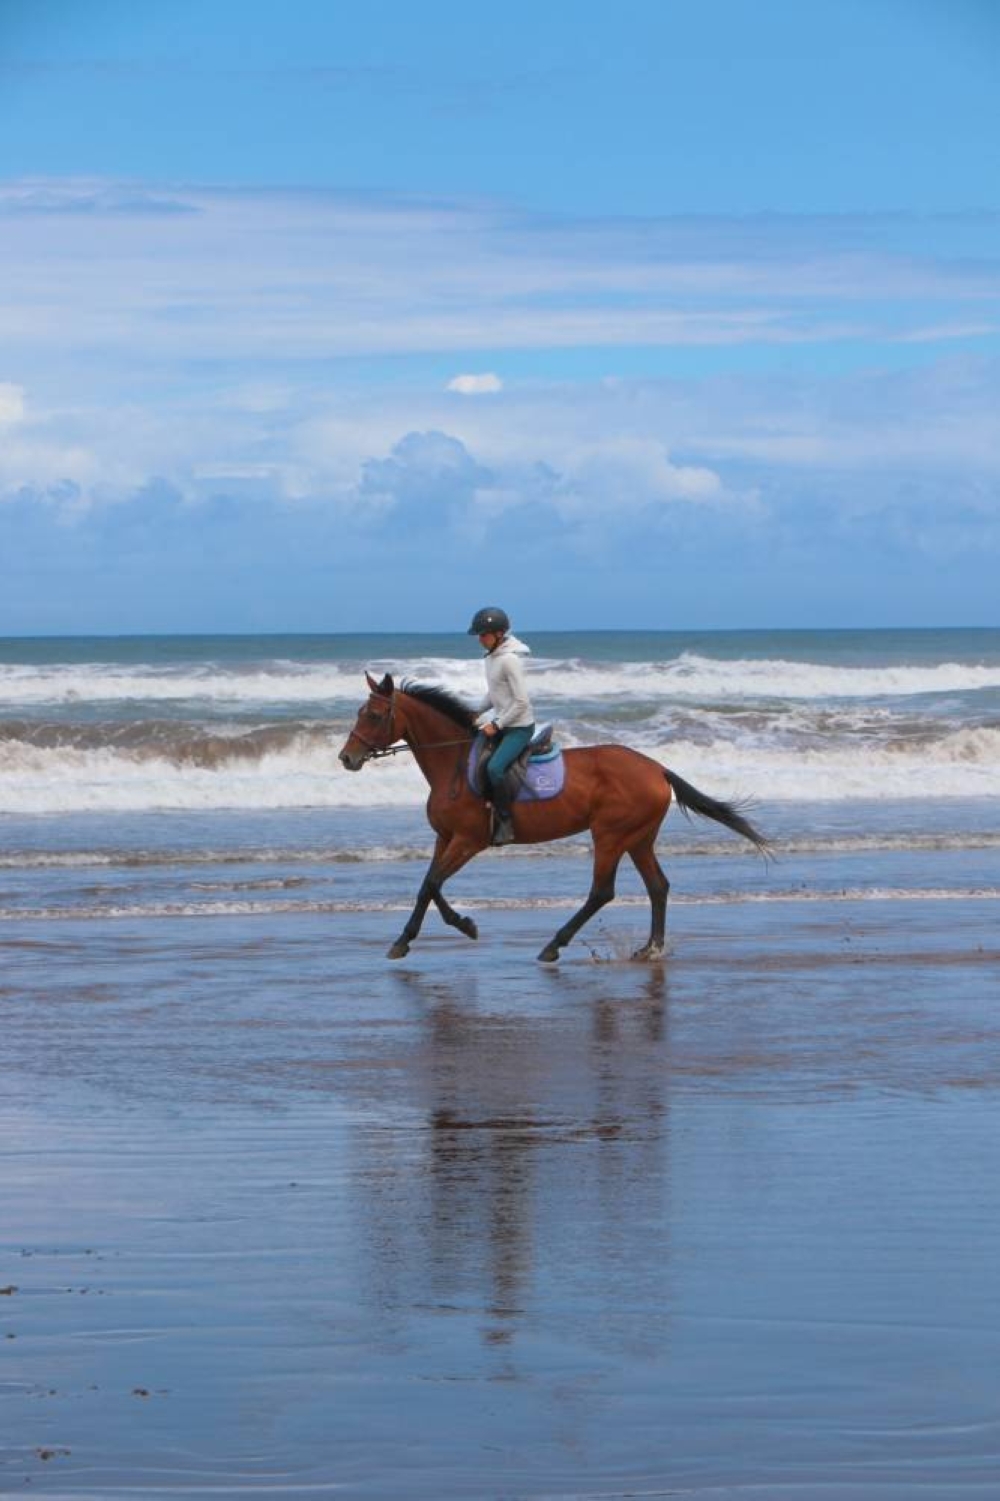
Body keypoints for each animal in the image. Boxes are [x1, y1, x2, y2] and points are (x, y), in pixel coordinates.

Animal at [339, 673, 770, 963]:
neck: (454, 765)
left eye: (374, 715)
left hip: (610, 835)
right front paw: (440, 930)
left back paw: (554, 945)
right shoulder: (445, 838)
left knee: (602, 892)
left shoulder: (468, 841)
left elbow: (431, 884)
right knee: (658, 886)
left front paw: (436, 933)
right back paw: (650, 949)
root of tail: (657, 768)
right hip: (639, 837)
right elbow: (429, 885)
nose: (346, 758)